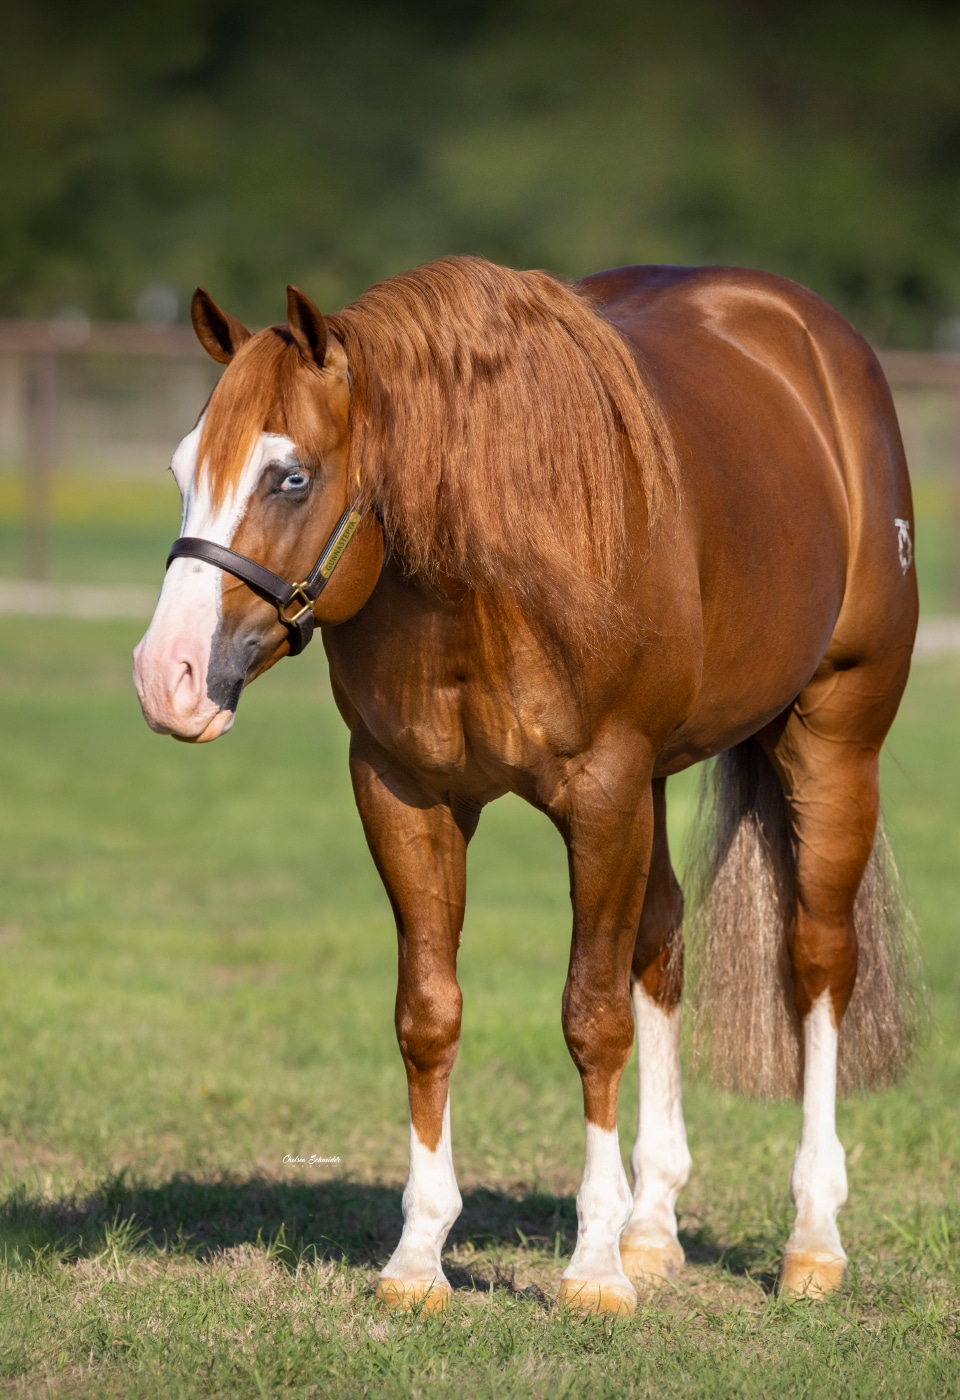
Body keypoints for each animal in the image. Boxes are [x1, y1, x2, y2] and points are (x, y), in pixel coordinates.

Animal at [133, 256, 919, 1315]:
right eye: (184, 471)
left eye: (289, 477)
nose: (166, 676)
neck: (478, 571)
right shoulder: (405, 793)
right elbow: (429, 1014)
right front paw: (420, 1257)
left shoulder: (602, 792)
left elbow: (591, 1018)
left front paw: (590, 1270)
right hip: (659, 786)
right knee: (662, 945)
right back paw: (652, 1226)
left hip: (834, 737)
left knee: (818, 961)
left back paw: (812, 1240)